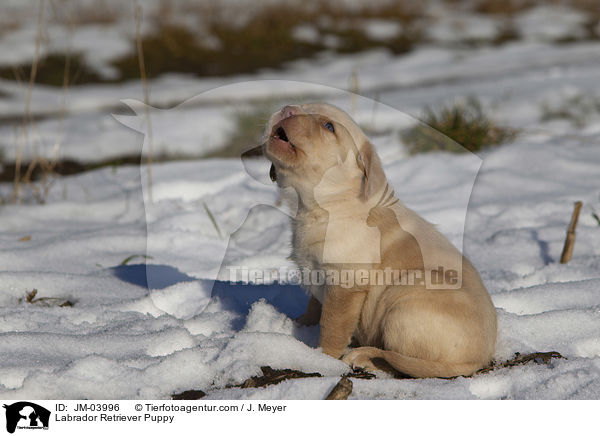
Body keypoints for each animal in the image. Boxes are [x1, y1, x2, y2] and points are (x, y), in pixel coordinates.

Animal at [262, 103, 496, 378]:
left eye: (328, 126)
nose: (287, 109)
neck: (325, 204)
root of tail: (478, 361)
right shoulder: (316, 274)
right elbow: (313, 308)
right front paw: (297, 326)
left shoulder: (346, 285)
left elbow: (332, 327)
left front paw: (321, 357)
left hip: (405, 295)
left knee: (399, 359)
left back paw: (363, 356)